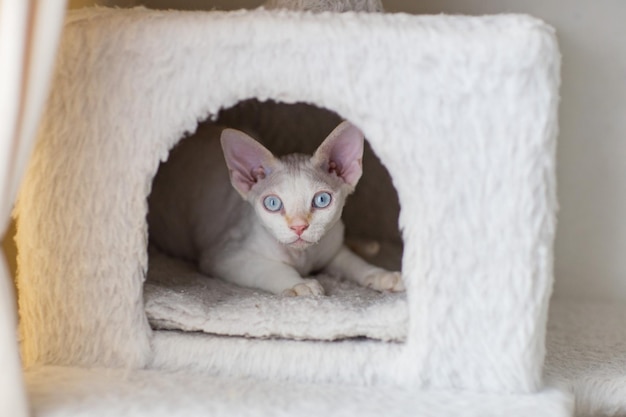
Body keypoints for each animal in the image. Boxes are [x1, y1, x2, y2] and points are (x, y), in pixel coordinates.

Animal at [147, 120, 402, 296]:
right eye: (272, 203)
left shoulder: (332, 249)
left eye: (322, 200)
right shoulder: (224, 256)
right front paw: (299, 284)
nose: (299, 227)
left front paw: (380, 275)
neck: (302, 256)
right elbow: (270, 269)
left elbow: (353, 263)